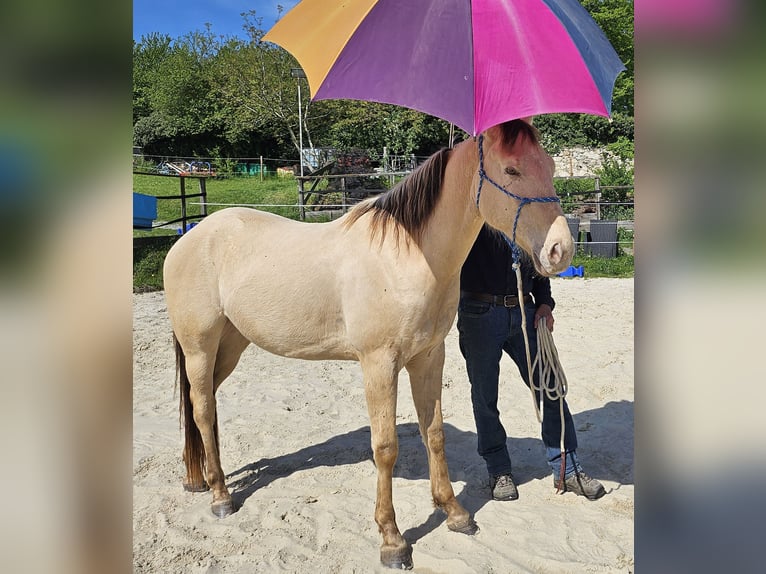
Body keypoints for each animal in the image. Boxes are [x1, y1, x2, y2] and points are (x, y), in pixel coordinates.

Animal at [163, 119, 573, 569]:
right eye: (512, 170)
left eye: (550, 166)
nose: (561, 249)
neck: (407, 256)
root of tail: (189, 238)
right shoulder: (379, 364)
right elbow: (386, 447)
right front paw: (392, 540)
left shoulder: (428, 358)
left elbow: (434, 434)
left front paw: (455, 513)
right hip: (200, 347)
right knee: (202, 410)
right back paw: (220, 496)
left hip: (230, 345)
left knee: (203, 406)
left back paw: (197, 479)